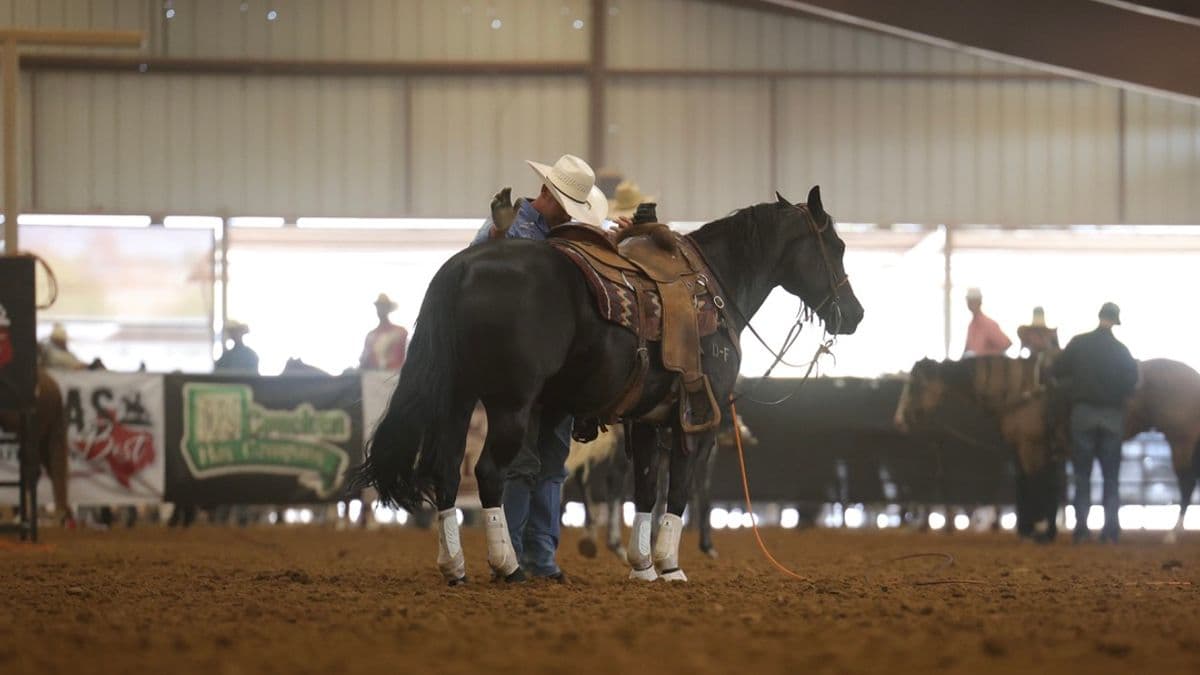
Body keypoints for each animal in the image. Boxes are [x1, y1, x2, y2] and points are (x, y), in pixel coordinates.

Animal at [352, 186, 863, 584]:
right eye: (835, 245)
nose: (855, 315)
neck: (712, 288)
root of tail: (464, 267)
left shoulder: (648, 419)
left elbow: (645, 490)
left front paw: (642, 565)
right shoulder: (695, 420)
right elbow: (679, 491)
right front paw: (671, 566)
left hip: (458, 400)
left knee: (444, 471)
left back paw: (455, 565)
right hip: (509, 405)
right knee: (489, 473)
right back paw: (508, 565)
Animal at [894, 356, 1062, 542]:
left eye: (915, 385)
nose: (898, 420)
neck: (1025, 395)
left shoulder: (1032, 446)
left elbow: (1039, 481)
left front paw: (1040, 530)